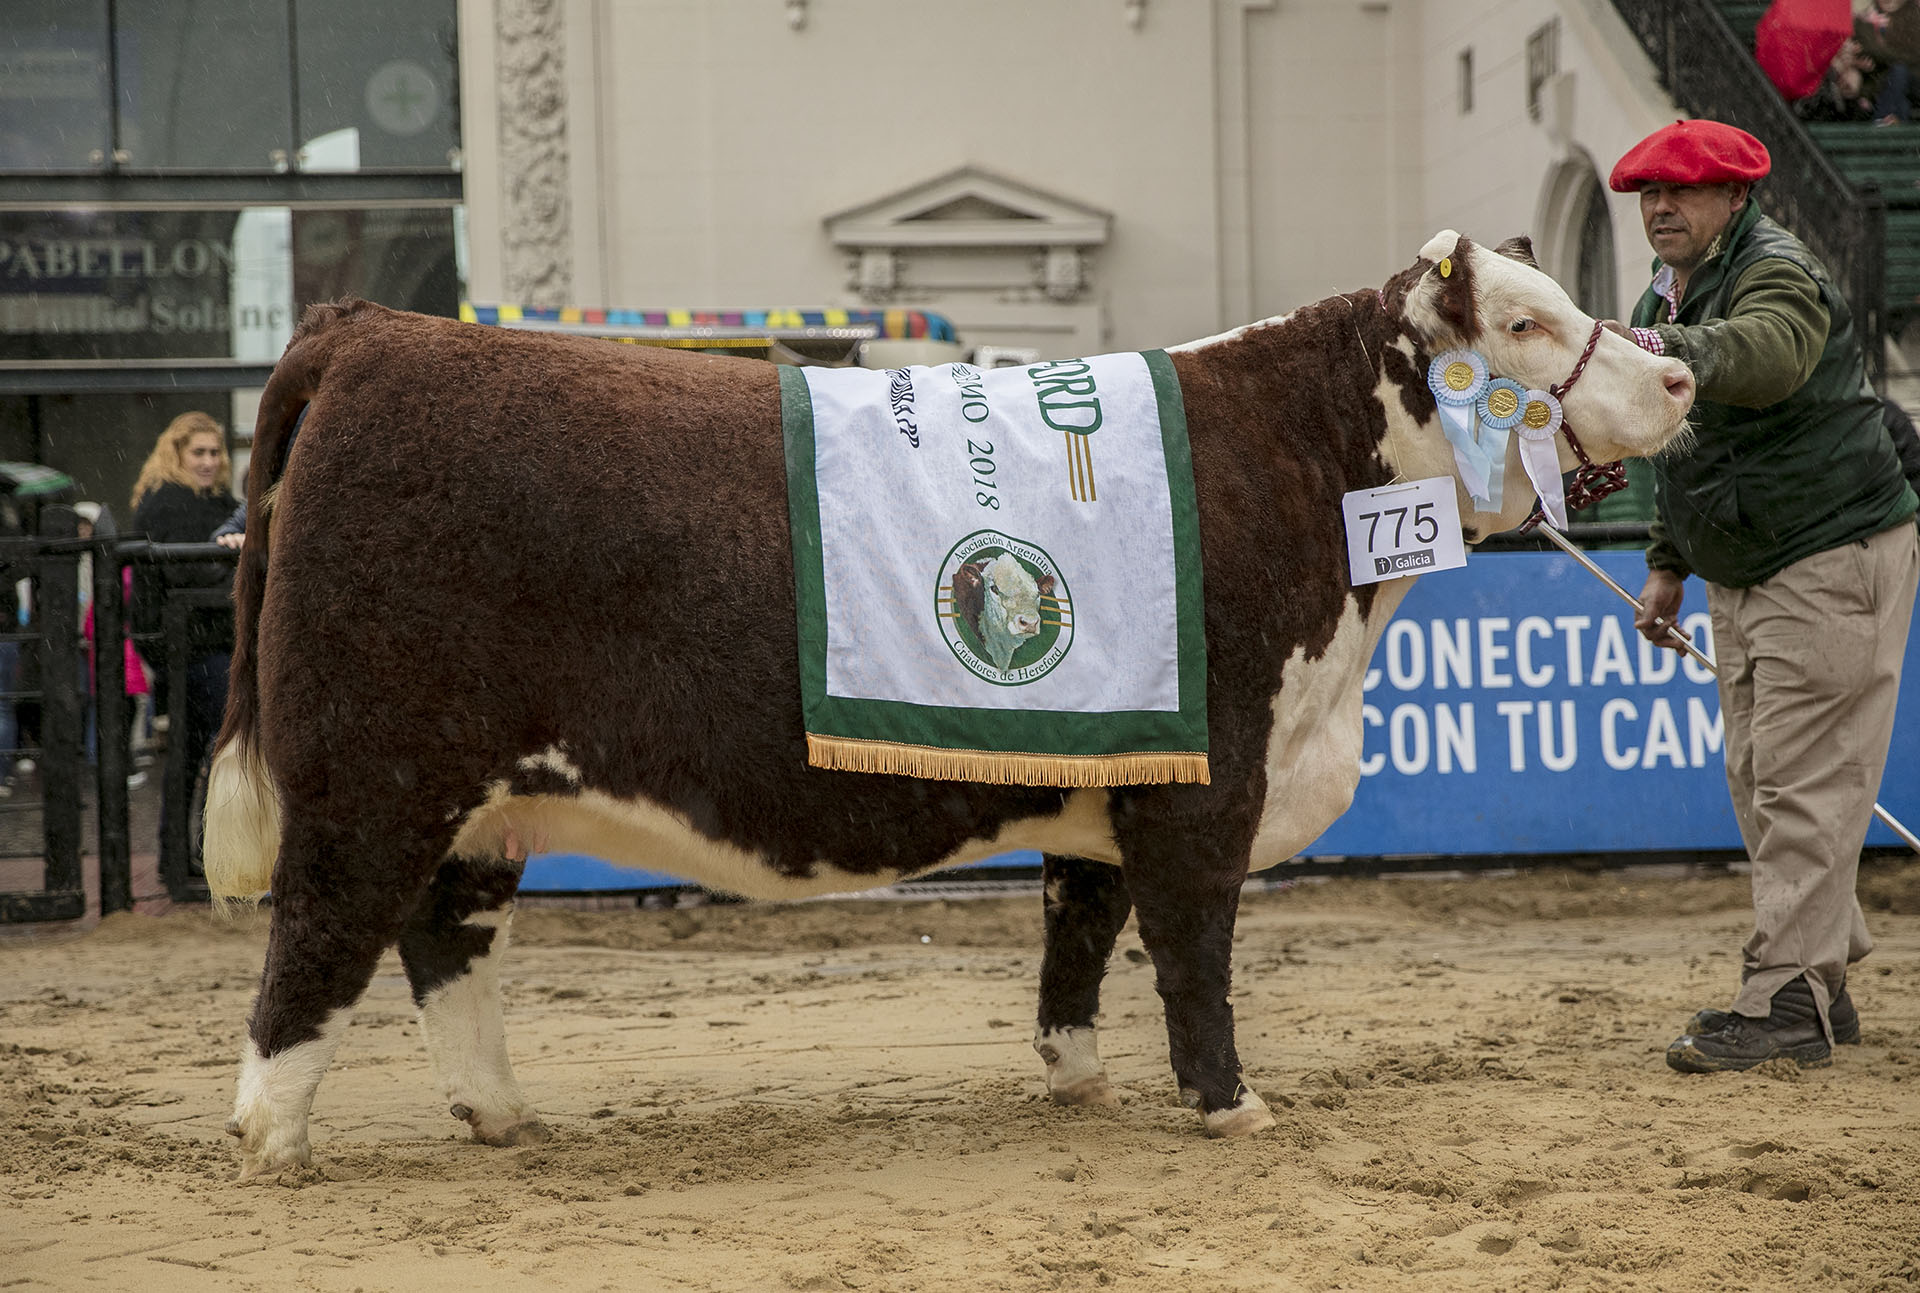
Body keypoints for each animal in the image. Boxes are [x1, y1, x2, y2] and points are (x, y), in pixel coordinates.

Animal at [202, 226, 1689, 1175]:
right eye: (1525, 322)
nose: (1678, 372)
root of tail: (366, 335)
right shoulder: (1211, 779)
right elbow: (1193, 946)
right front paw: (1229, 1106)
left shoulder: (1125, 752)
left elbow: (1080, 928)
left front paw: (1078, 1080)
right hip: (377, 775)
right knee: (320, 941)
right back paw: (275, 1139)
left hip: (485, 798)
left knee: (447, 940)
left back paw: (503, 1114)